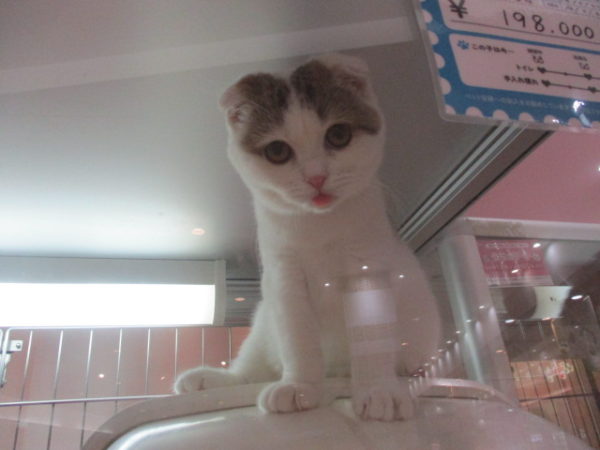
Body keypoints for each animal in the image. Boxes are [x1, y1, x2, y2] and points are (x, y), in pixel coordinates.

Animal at [174, 53, 441, 422]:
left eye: (339, 134)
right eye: (277, 151)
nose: (317, 177)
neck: (319, 227)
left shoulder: (367, 263)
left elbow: (371, 332)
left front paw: (378, 389)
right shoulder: (284, 274)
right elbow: (298, 337)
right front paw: (300, 386)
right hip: (264, 321)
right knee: (252, 369)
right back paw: (209, 380)